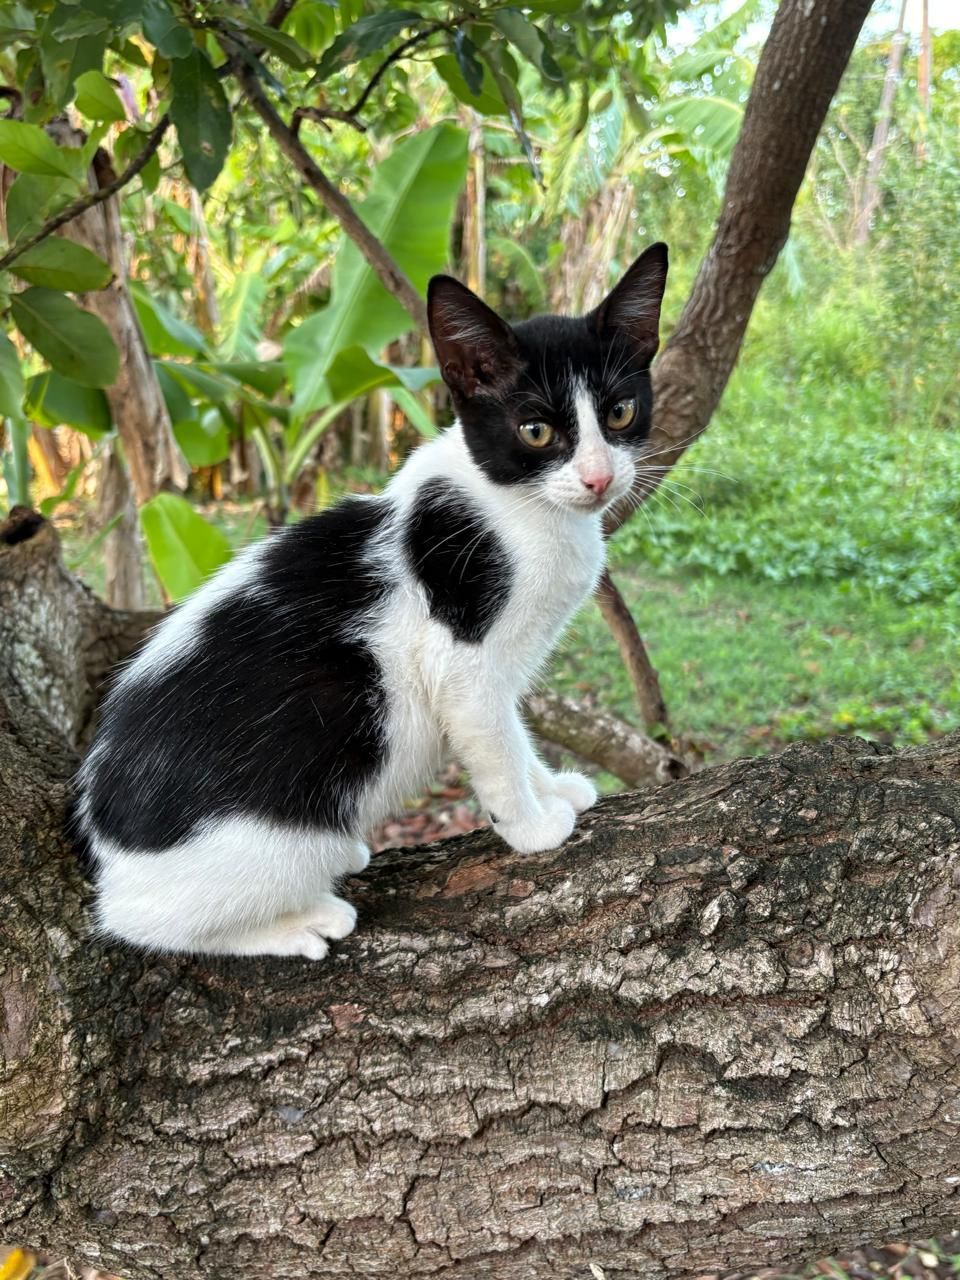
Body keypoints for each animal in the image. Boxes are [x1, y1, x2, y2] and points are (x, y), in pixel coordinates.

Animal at [72, 241, 668, 960]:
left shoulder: (503, 667)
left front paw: (552, 786)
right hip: (271, 838)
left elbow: (515, 731)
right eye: (535, 431)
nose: (599, 478)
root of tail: (106, 851)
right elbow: (494, 744)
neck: (516, 509)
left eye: (619, 413)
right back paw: (298, 922)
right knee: (143, 923)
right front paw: (530, 825)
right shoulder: (462, 662)